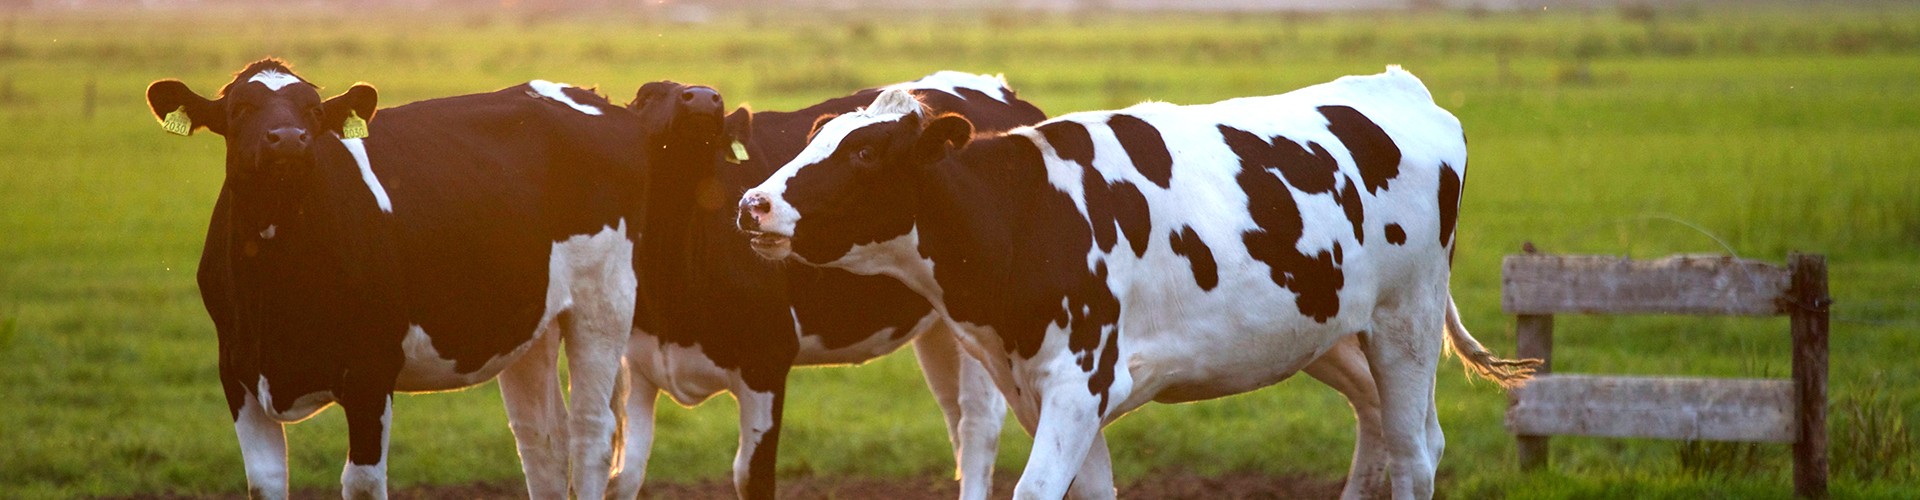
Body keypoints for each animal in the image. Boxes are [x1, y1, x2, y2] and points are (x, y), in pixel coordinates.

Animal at [146, 59, 722, 499]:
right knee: (542, 442)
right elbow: (264, 482)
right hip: (529, 318)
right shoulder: (237, 370)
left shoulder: (370, 370)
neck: (277, 279)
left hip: (604, 300)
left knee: (590, 436)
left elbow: (361, 482)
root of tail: (594, 97)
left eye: (312, 109)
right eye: (239, 110)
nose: (288, 140)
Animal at [608, 72, 1045, 500]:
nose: (702, 97)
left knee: (977, 426)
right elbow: (625, 476)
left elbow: (753, 477)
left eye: (715, 99)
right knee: (955, 419)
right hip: (941, 327)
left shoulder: (766, 361)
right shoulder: (638, 364)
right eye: (646, 96)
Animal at [736, 67, 1538, 499]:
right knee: (1390, 429)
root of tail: (1400, 88)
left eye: (866, 153)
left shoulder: (1078, 382)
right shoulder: (1043, 392)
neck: (1027, 214)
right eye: (817, 137)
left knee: (1412, 454)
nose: (752, 203)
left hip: (1406, 320)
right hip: (1328, 329)